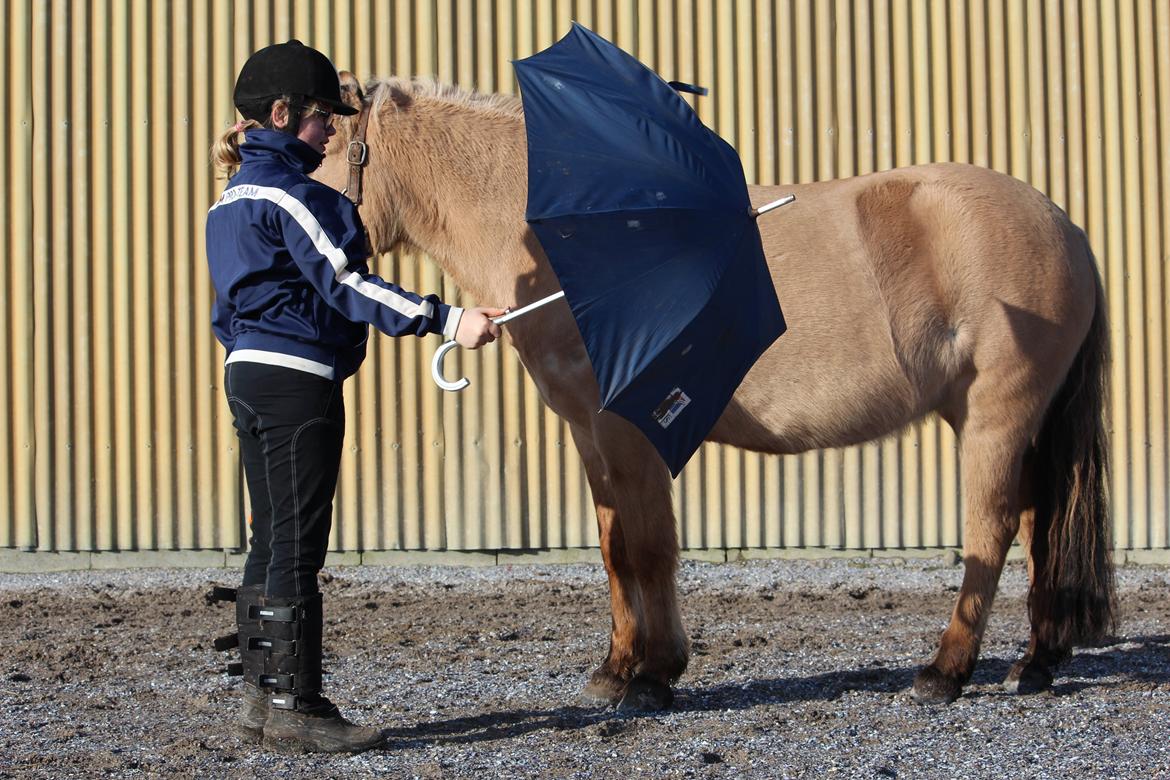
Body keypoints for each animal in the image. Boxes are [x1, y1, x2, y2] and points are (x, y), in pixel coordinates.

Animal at [318, 76, 1113, 711]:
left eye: (317, 150)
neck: (566, 242)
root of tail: (1065, 227)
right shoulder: (591, 434)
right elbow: (615, 548)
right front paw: (616, 670)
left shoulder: (629, 433)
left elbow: (648, 548)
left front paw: (652, 676)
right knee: (1041, 522)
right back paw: (1035, 663)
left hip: (995, 419)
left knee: (993, 529)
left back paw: (944, 672)